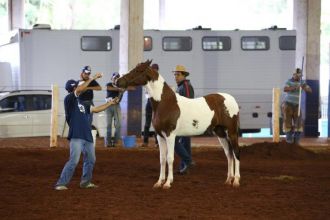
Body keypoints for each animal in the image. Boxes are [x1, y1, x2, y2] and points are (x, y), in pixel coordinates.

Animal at [116, 60, 240, 189]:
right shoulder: (160, 136)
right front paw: (159, 182)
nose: (117, 81)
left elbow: (170, 158)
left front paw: (168, 183)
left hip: (232, 132)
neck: (165, 103)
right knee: (228, 154)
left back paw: (236, 180)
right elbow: (162, 159)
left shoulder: (170, 135)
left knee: (236, 153)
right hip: (220, 133)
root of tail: (232, 100)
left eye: (138, 70)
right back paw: (228, 180)